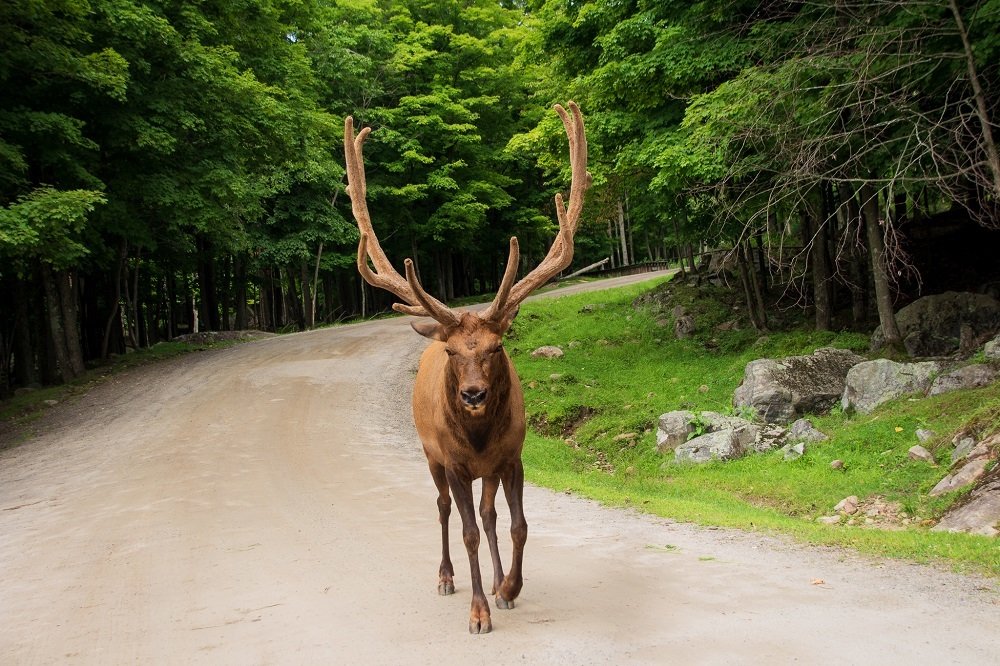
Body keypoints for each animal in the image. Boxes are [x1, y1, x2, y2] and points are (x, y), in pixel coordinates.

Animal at [343, 102, 589, 634]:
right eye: (454, 352)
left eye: (496, 347)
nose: (473, 395)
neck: (477, 439)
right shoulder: (454, 462)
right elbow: (468, 531)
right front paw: (477, 611)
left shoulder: (511, 456)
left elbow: (516, 525)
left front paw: (508, 588)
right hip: (430, 456)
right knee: (444, 511)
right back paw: (446, 577)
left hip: (487, 470)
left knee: (489, 512)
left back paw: (497, 583)